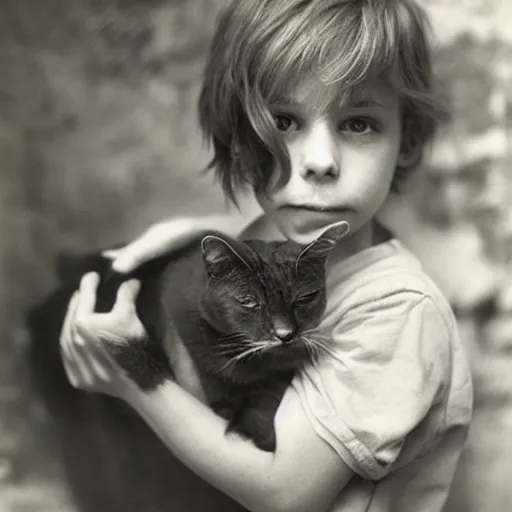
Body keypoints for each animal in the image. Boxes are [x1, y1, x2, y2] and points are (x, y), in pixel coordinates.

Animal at [29, 223, 348, 512]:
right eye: (249, 302)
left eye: (305, 298)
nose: (284, 333)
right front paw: (238, 416)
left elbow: (271, 393)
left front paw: (258, 429)